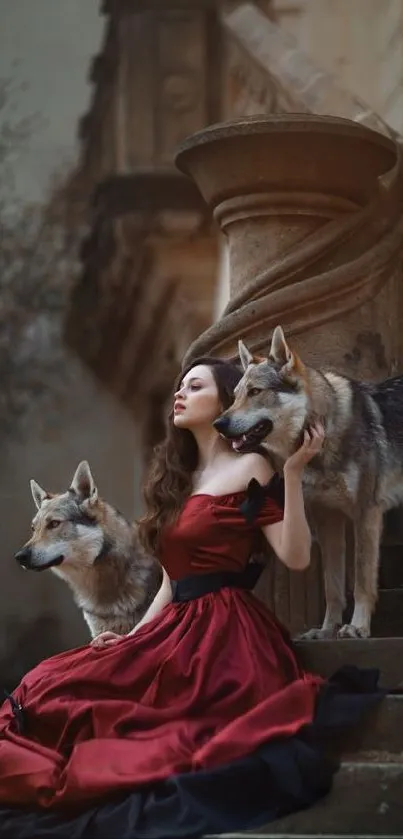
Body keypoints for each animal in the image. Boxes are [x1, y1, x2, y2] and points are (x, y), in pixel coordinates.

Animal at [215, 324, 403, 640]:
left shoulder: (367, 513)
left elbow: (362, 580)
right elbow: (332, 586)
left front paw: (358, 626)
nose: (218, 424)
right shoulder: (327, 518)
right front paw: (327, 630)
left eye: (255, 392)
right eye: (236, 396)